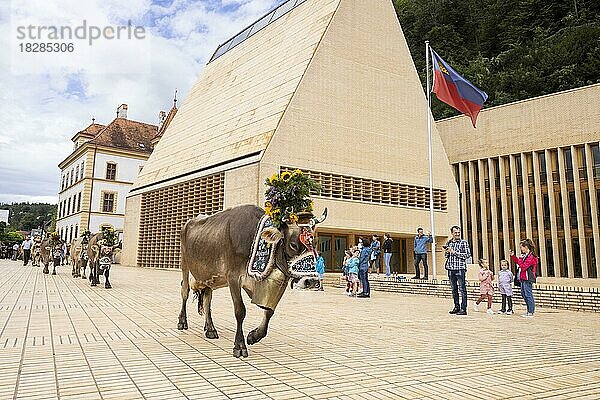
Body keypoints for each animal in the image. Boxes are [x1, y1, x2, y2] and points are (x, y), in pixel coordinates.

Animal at [179, 205, 328, 358]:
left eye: (315, 243)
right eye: (293, 245)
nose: (311, 281)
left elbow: (269, 311)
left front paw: (254, 336)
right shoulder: (233, 277)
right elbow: (240, 311)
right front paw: (239, 345)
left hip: (208, 275)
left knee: (207, 299)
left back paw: (210, 329)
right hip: (184, 263)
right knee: (185, 291)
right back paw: (182, 322)